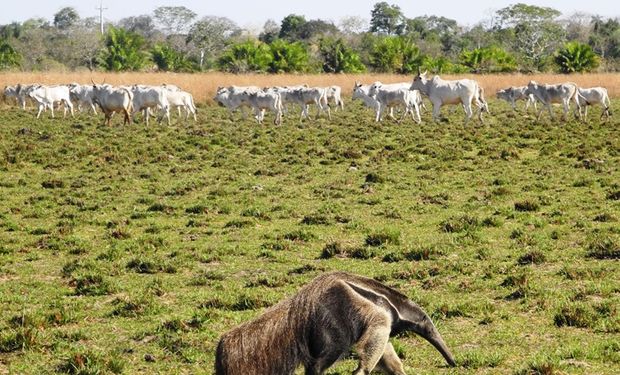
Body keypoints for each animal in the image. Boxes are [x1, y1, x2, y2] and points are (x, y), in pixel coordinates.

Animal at [217, 274, 456, 375]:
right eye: (429, 329)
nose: (452, 361)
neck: (392, 302)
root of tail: (301, 306)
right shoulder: (376, 311)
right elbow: (375, 341)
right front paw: (361, 370)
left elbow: (387, 351)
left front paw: (399, 372)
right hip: (332, 322)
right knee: (325, 357)